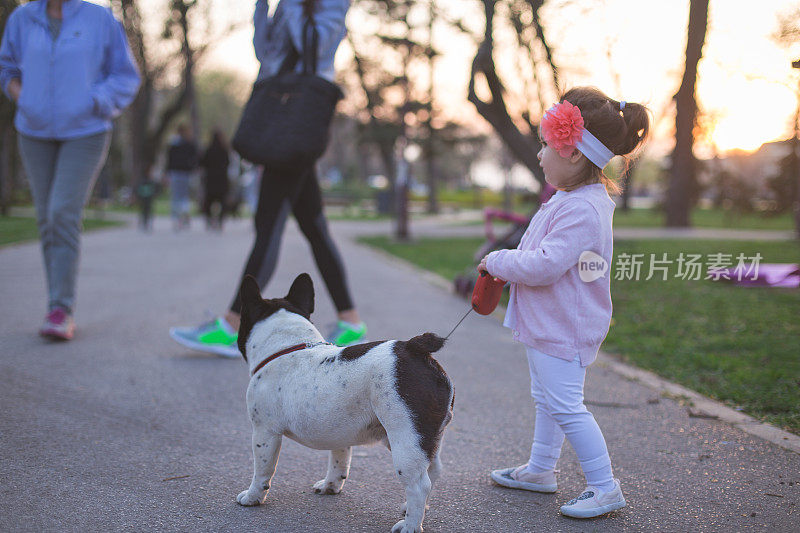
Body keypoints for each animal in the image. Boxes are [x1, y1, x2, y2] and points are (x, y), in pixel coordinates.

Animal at [234, 272, 454, 528]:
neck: (287, 346)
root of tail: (414, 348)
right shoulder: (338, 428)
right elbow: (339, 459)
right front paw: (331, 485)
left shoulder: (264, 432)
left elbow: (263, 469)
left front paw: (252, 497)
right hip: (424, 436)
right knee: (433, 470)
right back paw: (411, 509)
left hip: (405, 438)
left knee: (419, 485)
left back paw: (410, 526)